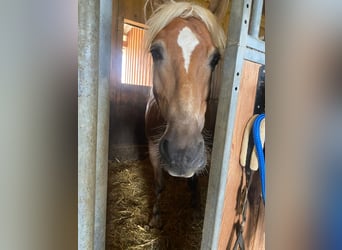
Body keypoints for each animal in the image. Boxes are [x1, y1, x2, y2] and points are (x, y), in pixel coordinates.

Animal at [145, 0, 227, 227]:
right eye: (155, 52)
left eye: (215, 59)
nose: (181, 154)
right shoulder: (152, 149)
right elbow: (159, 185)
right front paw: (155, 217)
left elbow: (194, 182)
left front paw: (197, 209)